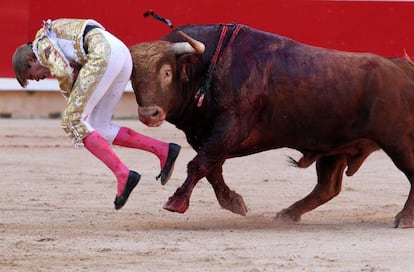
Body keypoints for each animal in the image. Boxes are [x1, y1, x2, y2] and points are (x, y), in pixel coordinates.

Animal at [131, 23, 414, 227]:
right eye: (133, 77)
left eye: (167, 72)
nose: (149, 114)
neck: (208, 67)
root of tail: (402, 69)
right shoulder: (206, 137)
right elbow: (211, 169)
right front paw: (234, 202)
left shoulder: (229, 128)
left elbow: (200, 164)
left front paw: (176, 202)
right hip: (334, 147)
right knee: (328, 186)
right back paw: (288, 214)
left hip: (398, 141)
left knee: (410, 172)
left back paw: (405, 218)